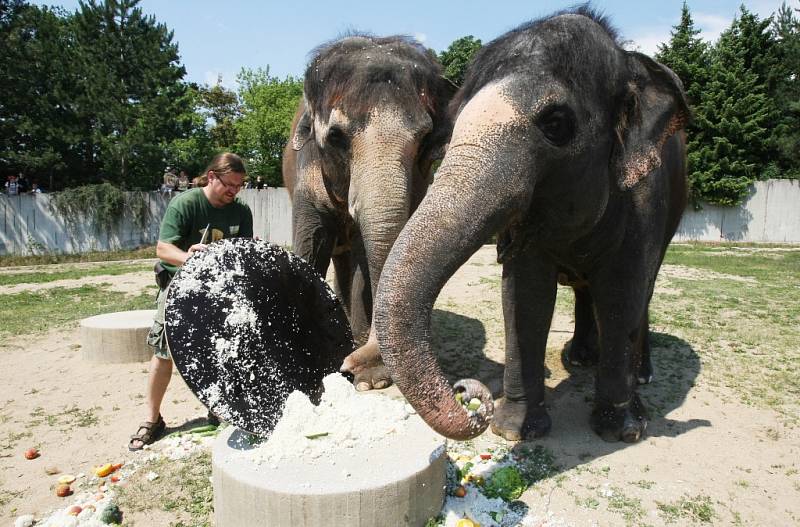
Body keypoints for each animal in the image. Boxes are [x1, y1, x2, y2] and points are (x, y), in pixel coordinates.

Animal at [282, 36, 456, 392]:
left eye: (424, 140)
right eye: (336, 136)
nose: (350, 365)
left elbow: (366, 257)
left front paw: (370, 381)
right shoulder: (307, 175)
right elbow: (311, 248)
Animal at [374, 9, 688, 446]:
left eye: (556, 124)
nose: (467, 392)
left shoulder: (644, 199)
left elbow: (622, 292)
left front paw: (622, 430)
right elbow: (525, 295)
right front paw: (514, 430)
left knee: (645, 287)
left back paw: (641, 374)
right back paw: (580, 358)